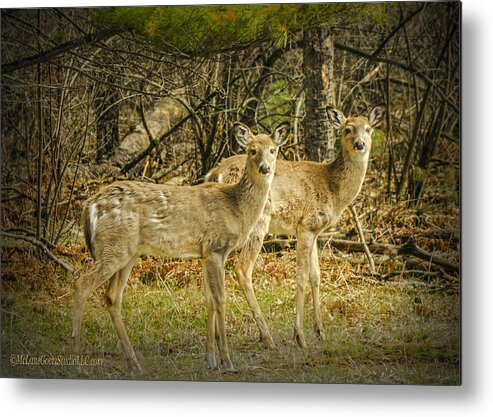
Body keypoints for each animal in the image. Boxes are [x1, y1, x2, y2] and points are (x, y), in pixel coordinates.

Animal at [71, 120, 290, 370]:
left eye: (273, 150)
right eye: (252, 150)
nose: (265, 168)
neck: (236, 208)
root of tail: (89, 205)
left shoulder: (205, 253)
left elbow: (209, 300)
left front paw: (211, 359)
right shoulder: (216, 248)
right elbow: (221, 299)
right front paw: (226, 360)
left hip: (127, 253)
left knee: (112, 297)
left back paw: (134, 362)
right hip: (113, 247)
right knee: (82, 284)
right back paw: (76, 357)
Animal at [204, 104, 384, 348]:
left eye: (368, 128)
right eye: (347, 129)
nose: (360, 144)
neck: (333, 188)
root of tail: (216, 173)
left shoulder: (313, 230)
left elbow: (316, 276)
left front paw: (320, 332)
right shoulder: (307, 224)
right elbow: (301, 277)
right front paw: (299, 336)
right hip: (257, 221)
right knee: (242, 268)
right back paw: (267, 337)